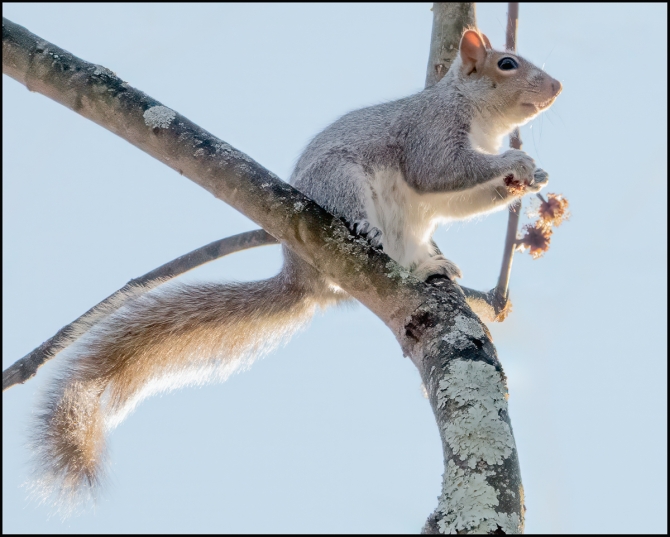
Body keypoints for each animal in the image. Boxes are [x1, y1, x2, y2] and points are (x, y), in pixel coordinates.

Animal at [30, 29, 561, 509]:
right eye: (508, 64)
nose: (557, 87)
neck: (475, 114)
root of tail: (300, 276)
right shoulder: (430, 130)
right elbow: (440, 171)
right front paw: (517, 159)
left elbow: (461, 197)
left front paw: (529, 176)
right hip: (340, 180)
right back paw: (365, 230)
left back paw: (432, 266)